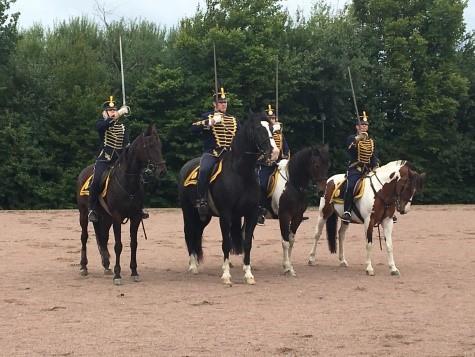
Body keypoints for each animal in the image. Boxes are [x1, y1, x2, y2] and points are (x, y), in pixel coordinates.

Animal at [76, 122, 167, 284]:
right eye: (149, 146)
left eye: (160, 145)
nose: (162, 170)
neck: (128, 181)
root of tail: (84, 172)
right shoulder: (117, 217)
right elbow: (118, 245)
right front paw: (118, 275)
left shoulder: (135, 217)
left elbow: (133, 244)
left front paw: (134, 271)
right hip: (84, 213)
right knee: (84, 237)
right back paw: (84, 266)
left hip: (106, 217)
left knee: (103, 237)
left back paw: (106, 265)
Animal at [178, 114, 278, 284]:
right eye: (258, 129)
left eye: (271, 128)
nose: (274, 152)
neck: (241, 173)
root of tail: (186, 166)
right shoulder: (226, 214)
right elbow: (226, 243)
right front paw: (226, 275)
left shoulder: (251, 214)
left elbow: (247, 243)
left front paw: (248, 274)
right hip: (188, 211)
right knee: (189, 233)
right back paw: (193, 266)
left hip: (204, 216)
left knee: (197, 233)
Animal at [266, 145, 330, 276]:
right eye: (316, 165)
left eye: (328, 165)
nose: (322, 191)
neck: (293, 185)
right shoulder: (284, 216)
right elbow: (285, 241)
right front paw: (286, 267)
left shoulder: (297, 217)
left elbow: (291, 241)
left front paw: (290, 266)